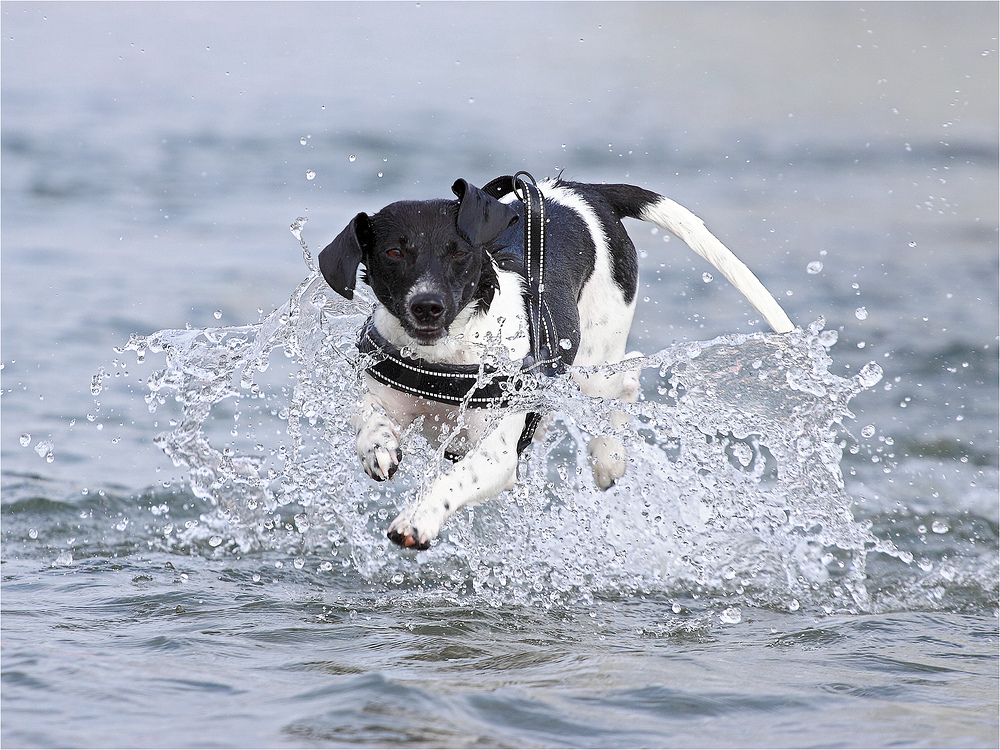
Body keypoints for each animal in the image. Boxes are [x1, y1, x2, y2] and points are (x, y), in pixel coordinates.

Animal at [318, 176, 788, 552]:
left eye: (459, 251)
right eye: (394, 253)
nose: (427, 306)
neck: (446, 355)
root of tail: (589, 193)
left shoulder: (496, 455)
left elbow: (452, 480)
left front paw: (419, 518)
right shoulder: (385, 391)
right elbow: (367, 414)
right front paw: (377, 444)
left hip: (593, 362)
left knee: (628, 375)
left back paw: (609, 457)